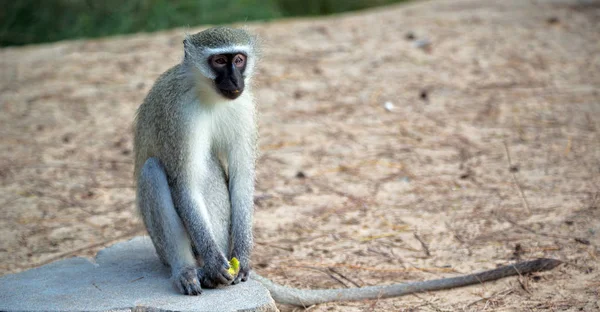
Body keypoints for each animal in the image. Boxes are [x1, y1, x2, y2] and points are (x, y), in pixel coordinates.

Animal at [134, 26, 560, 304]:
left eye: (239, 59)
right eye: (219, 60)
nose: (235, 80)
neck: (209, 95)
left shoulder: (244, 107)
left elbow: (241, 178)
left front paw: (245, 255)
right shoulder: (179, 116)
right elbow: (185, 183)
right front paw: (215, 259)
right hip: (161, 245)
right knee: (155, 171)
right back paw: (192, 269)